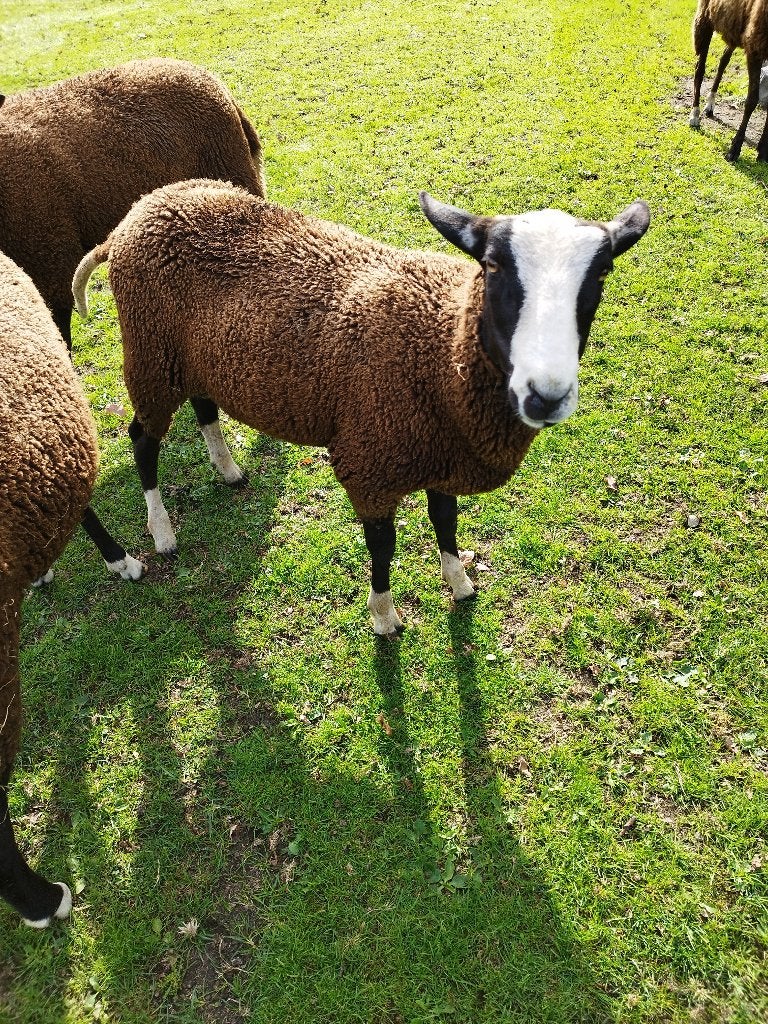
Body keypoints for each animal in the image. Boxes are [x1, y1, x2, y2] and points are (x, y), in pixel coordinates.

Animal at [73, 180, 650, 635]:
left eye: (602, 274)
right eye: (491, 266)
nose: (545, 395)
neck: (439, 348)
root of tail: (134, 216)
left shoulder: (441, 452)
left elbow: (445, 521)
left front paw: (459, 581)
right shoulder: (369, 463)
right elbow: (383, 548)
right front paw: (383, 617)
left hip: (195, 358)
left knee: (205, 408)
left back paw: (228, 469)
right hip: (151, 354)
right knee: (142, 439)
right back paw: (161, 531)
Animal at [689, 0, 768, 161]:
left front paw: (763, 151)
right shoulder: (755, 47)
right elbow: (751, 101)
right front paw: (734, 150)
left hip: (734, 27)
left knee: (723, 62)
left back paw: (710, 104)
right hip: (705, 18)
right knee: (699, 69)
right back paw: (695, 114)